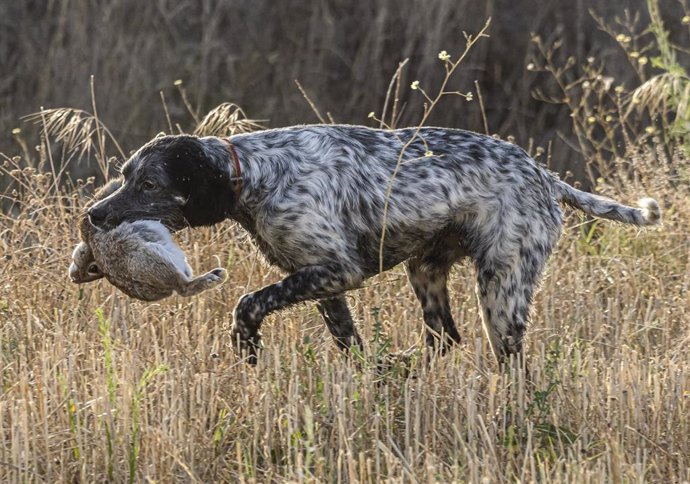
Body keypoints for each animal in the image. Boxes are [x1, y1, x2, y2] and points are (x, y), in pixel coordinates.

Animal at [87, 125, 660, 364]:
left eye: (149, 184)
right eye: (125, 175)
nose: (93, 215)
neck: (255, 173)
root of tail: (544, 175)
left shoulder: (338, 270)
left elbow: (247, 302)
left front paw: (246, 347)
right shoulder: (321, 281)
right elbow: (350, 344)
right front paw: (369, 374)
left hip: (502, 288)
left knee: (505, 359)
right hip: (426, 271)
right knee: (443, 339)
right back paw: (403, 365)